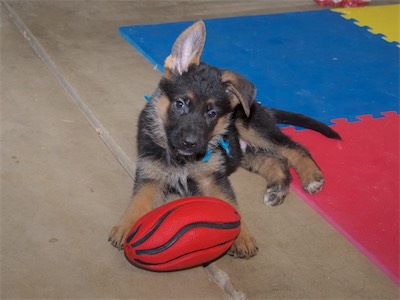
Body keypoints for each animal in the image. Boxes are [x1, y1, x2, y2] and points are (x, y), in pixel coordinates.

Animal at [108, 20, 340, 258]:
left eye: (211, 113)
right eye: (180, 104)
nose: (190, 143)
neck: (182, 159)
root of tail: (257, 105)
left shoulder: (212, 179)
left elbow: (230, 204)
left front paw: (242, 236)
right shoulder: (151, 176)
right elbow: (139, 201)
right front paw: (127, 226)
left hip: (251, 128)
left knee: (293, 147)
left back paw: (311, 177)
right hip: (243, 152)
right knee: (275, 160)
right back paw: (277, 189)